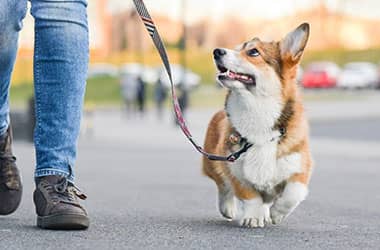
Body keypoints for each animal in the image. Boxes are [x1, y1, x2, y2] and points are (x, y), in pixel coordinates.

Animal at [203, 23, 314, 229]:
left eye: (253, 52)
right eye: (237, 48)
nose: (216, 51)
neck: (257, 111)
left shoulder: (300, 168)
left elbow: (293, 193)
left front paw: (277, 214)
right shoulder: (235, 169)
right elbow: (250, 196)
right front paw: (253, 217)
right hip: (211, 162)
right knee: (222, 186)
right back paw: (229, 208)